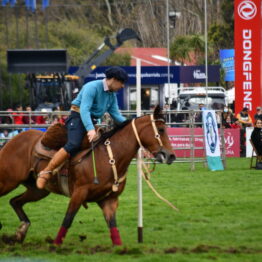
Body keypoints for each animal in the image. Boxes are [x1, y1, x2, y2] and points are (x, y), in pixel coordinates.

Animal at [0, 104, 176, 246]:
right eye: (161, 130)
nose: (171, 156)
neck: (109, 156)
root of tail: (12, 140)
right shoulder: (79, 193)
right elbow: (68, 219)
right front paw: (55, 246)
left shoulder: (109, 200)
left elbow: (113, 227)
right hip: (8, 181)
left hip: (38, 190)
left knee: (15, 201)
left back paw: (20, 232)